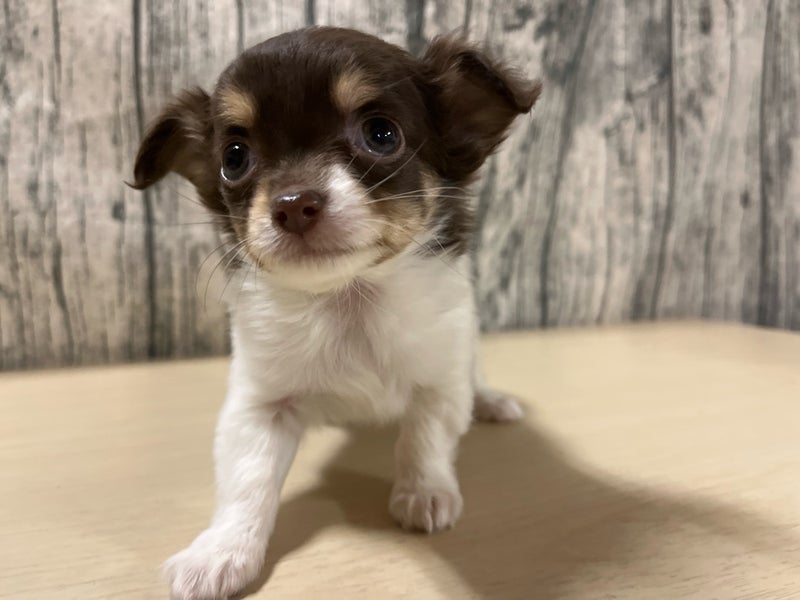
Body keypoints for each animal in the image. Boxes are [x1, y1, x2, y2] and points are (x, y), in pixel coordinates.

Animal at [134, 27, 540, 600]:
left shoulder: (440, 375)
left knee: (474, 380)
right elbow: (247, 480)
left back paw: (492, 402)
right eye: (234, 158)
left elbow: (425, 437)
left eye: (381, 135)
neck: (348, 299)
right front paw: (220, 552)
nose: (292, 203)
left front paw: (425, 494)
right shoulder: (260, 406)